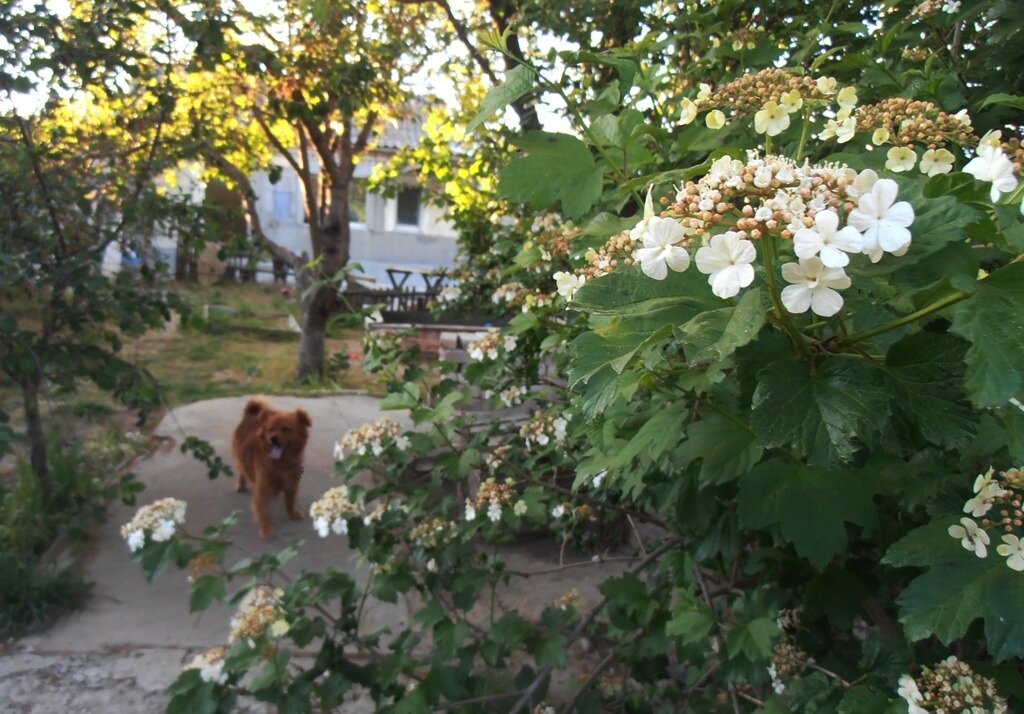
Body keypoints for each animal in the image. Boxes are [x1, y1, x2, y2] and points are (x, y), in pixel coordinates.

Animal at [232, 395, 311, 540]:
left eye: (286, 428)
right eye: (270, 429)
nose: (273, 439)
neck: (282, 464)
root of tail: (250, 415)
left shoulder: (292, 484)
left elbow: (290, 501)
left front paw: (292, 513)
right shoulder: (262, 490)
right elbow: (264, 513)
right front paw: (266, 530)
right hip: (239, 458)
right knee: (242, 471)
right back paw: (241, 485)